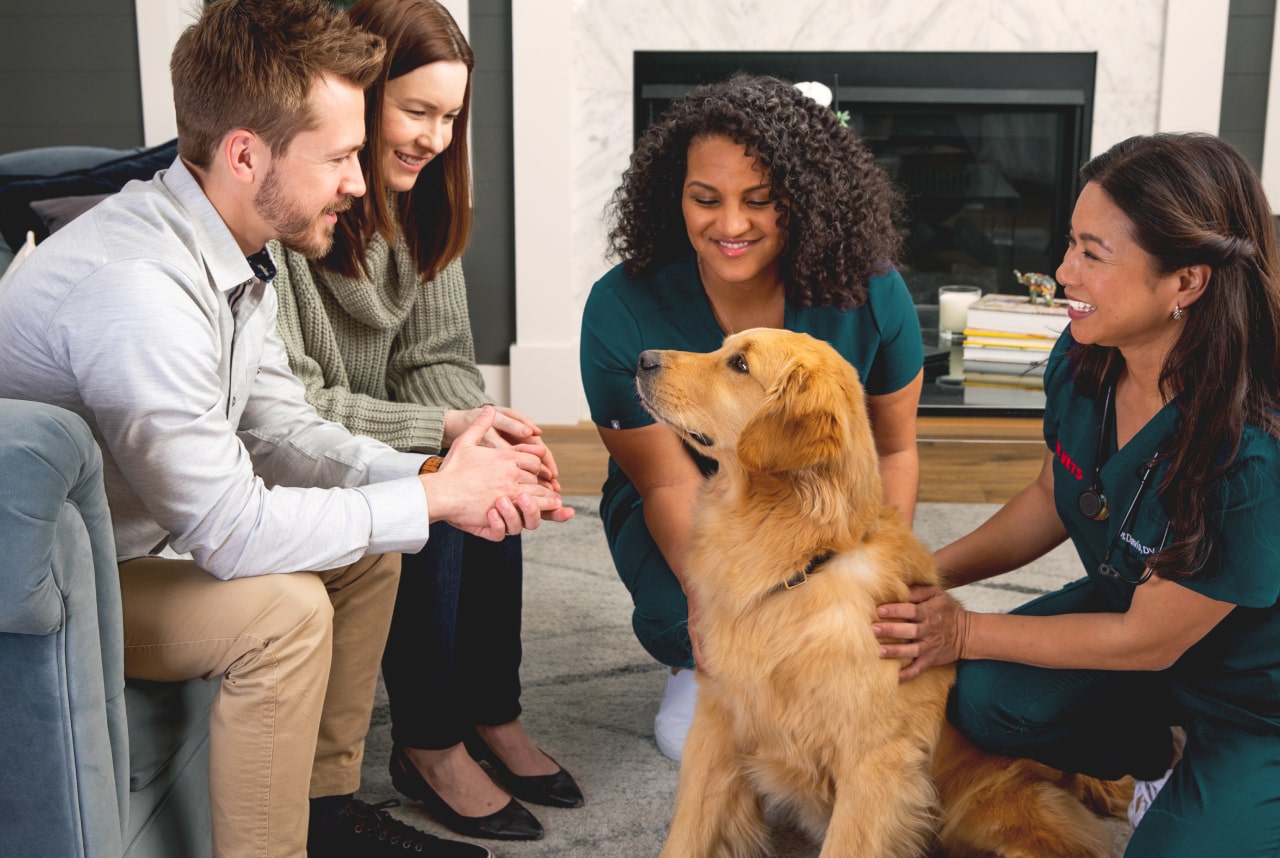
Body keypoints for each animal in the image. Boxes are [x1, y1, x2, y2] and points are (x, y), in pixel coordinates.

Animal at [634, 330, 1126, 858]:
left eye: (740, 365)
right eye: (723, 349)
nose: (642, 359)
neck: (801, 564)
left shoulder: (875, 762)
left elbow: (847, 843)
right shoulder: (719, 724)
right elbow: (688, 831)